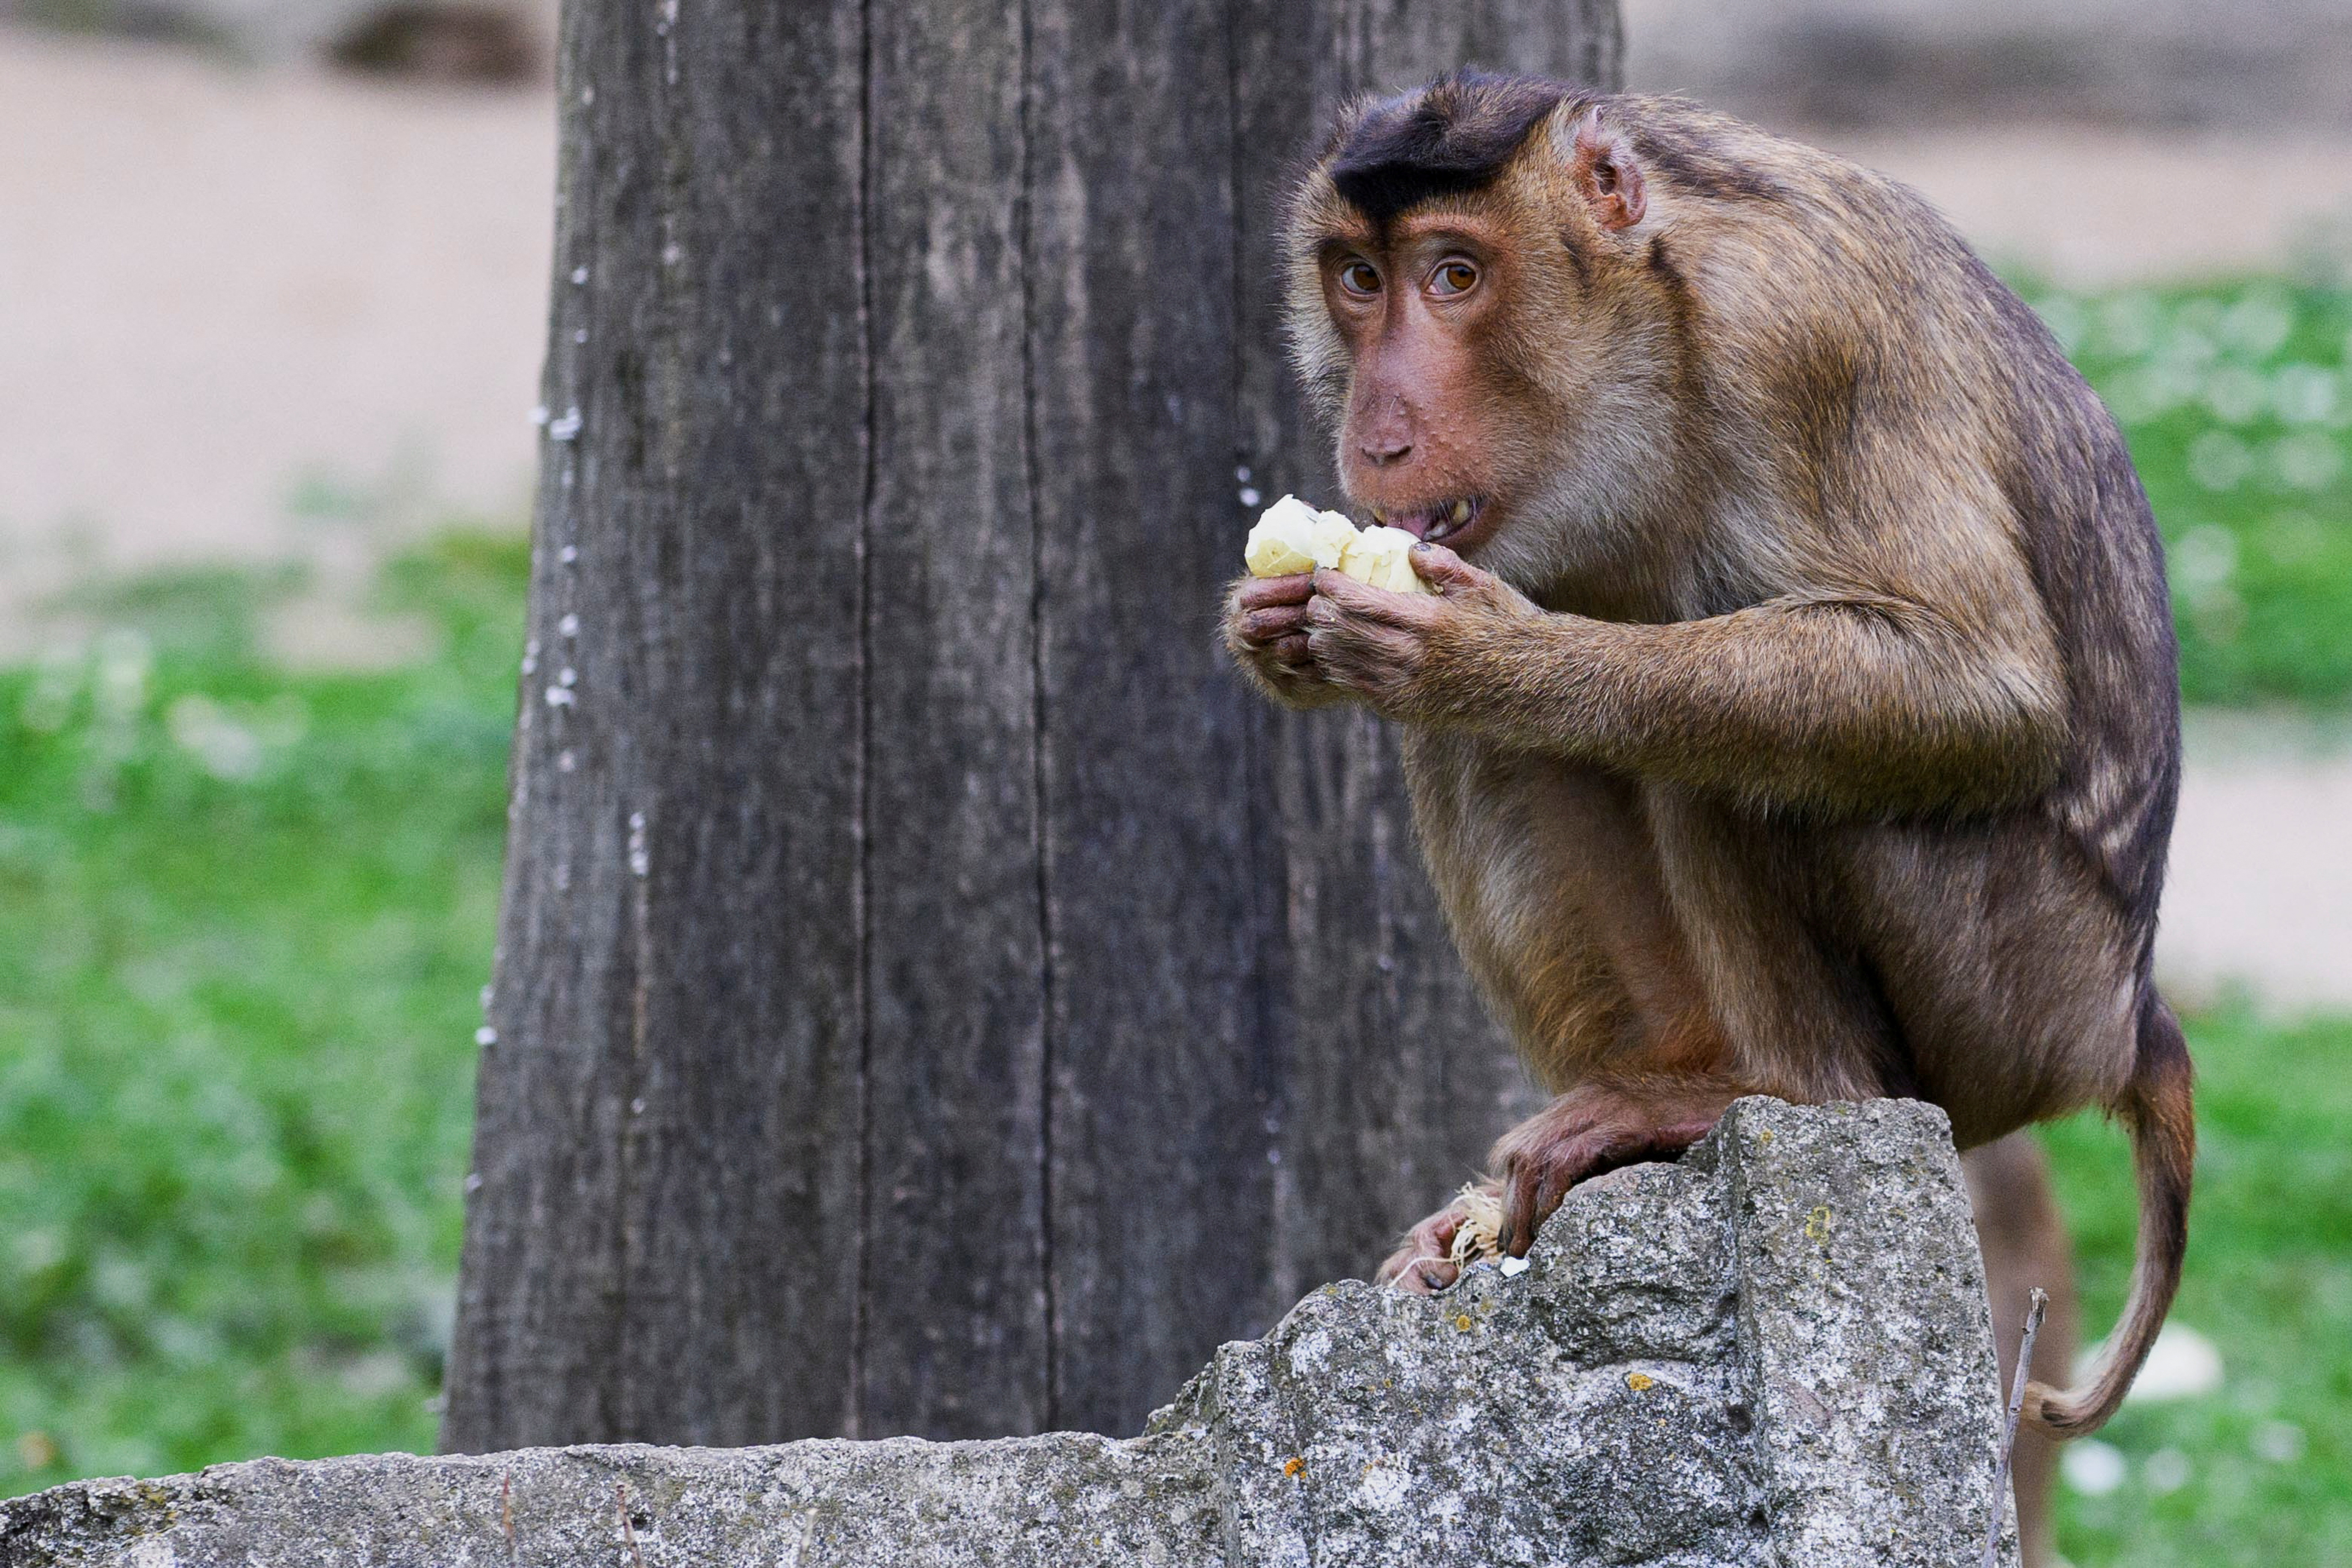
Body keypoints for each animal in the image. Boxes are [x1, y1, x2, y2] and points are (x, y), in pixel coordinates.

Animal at [1220, 72, 2191, 1470]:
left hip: (2011, 989)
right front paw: (1278, 629)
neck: (1654, 311)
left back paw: (1771, 1092)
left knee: (1729, 745)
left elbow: (1983, 692)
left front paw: (1487, 656)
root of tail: (2127, 1015)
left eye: (1454, 275)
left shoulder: (1800, 333)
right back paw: (1645, 1102)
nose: (1379, 433)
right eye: (1358, 278)